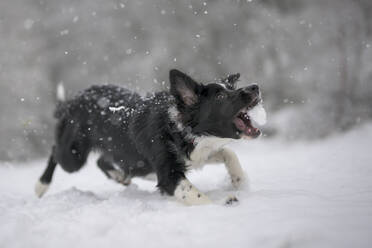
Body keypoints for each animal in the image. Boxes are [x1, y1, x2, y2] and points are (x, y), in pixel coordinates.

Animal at [34, 69, 262, 205]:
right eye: (221, 96)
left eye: (232, 88)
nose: (255, 87)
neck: (178, 128)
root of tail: (72, 100)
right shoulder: (169, 175)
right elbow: (197, 195)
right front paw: (222, 202)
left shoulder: (197, 154)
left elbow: (228, 152)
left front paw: (240, 181)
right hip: (73, 156)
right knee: (56, 152)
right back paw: (41, 185)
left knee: (102, 160)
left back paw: (121, 176)